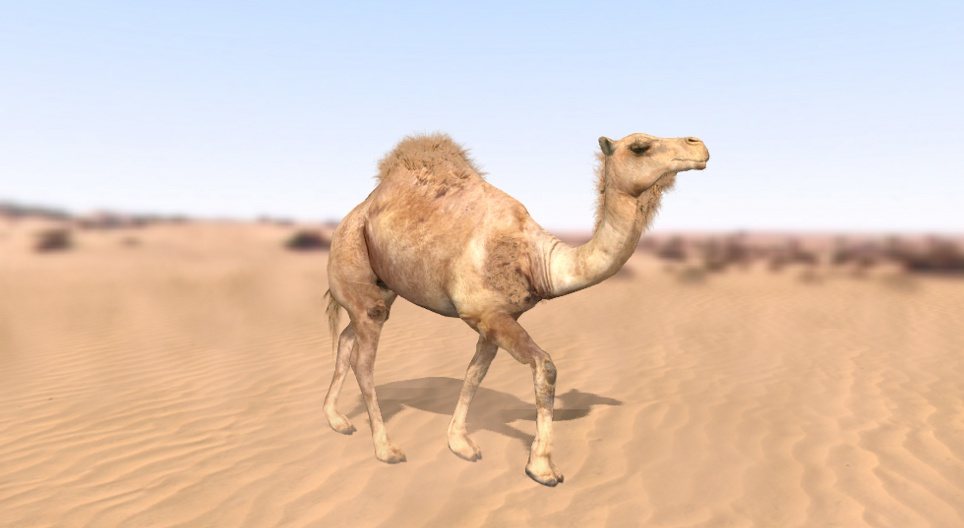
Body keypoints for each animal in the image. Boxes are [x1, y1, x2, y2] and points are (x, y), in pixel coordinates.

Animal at [323, 132, 709, 486]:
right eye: (640, 146)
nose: (698, 145)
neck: (539, 261)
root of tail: (360, 208)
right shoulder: (487, 314)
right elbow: (545, 367)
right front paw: (542, 468)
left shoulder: (495, 320)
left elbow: (474, 373)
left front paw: (460, 444)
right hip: (353, 257)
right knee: (363, 360)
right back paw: (386, 449)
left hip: (383, 288)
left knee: (346, 338)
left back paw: (337, 420)